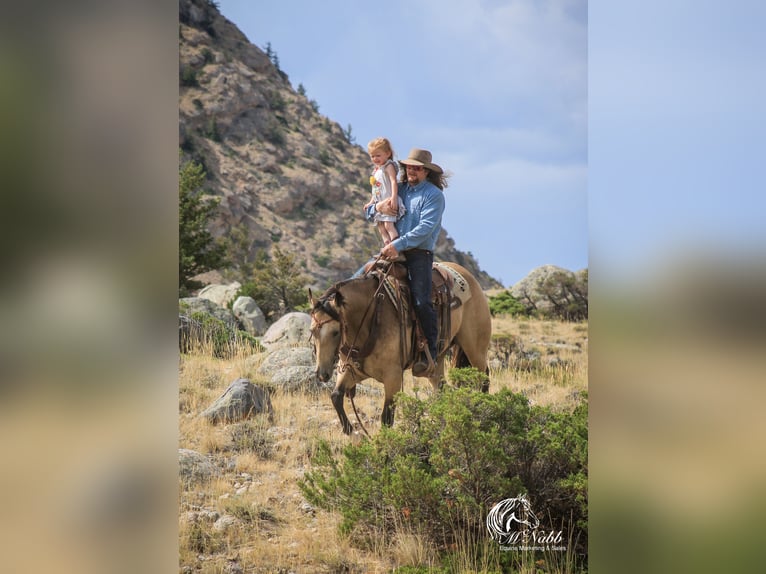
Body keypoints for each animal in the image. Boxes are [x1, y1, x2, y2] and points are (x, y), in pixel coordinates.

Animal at [310, 260, 496, 436]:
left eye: (335, 332)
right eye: (312, 331)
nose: (322, 374)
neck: (370, 318)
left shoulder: (393, 377)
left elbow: (386, 418)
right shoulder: (351, 371)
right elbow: (336, 397)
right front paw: (355, 434)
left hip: (475, 349)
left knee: (484, 377)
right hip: (436, 363)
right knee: (443, 390)